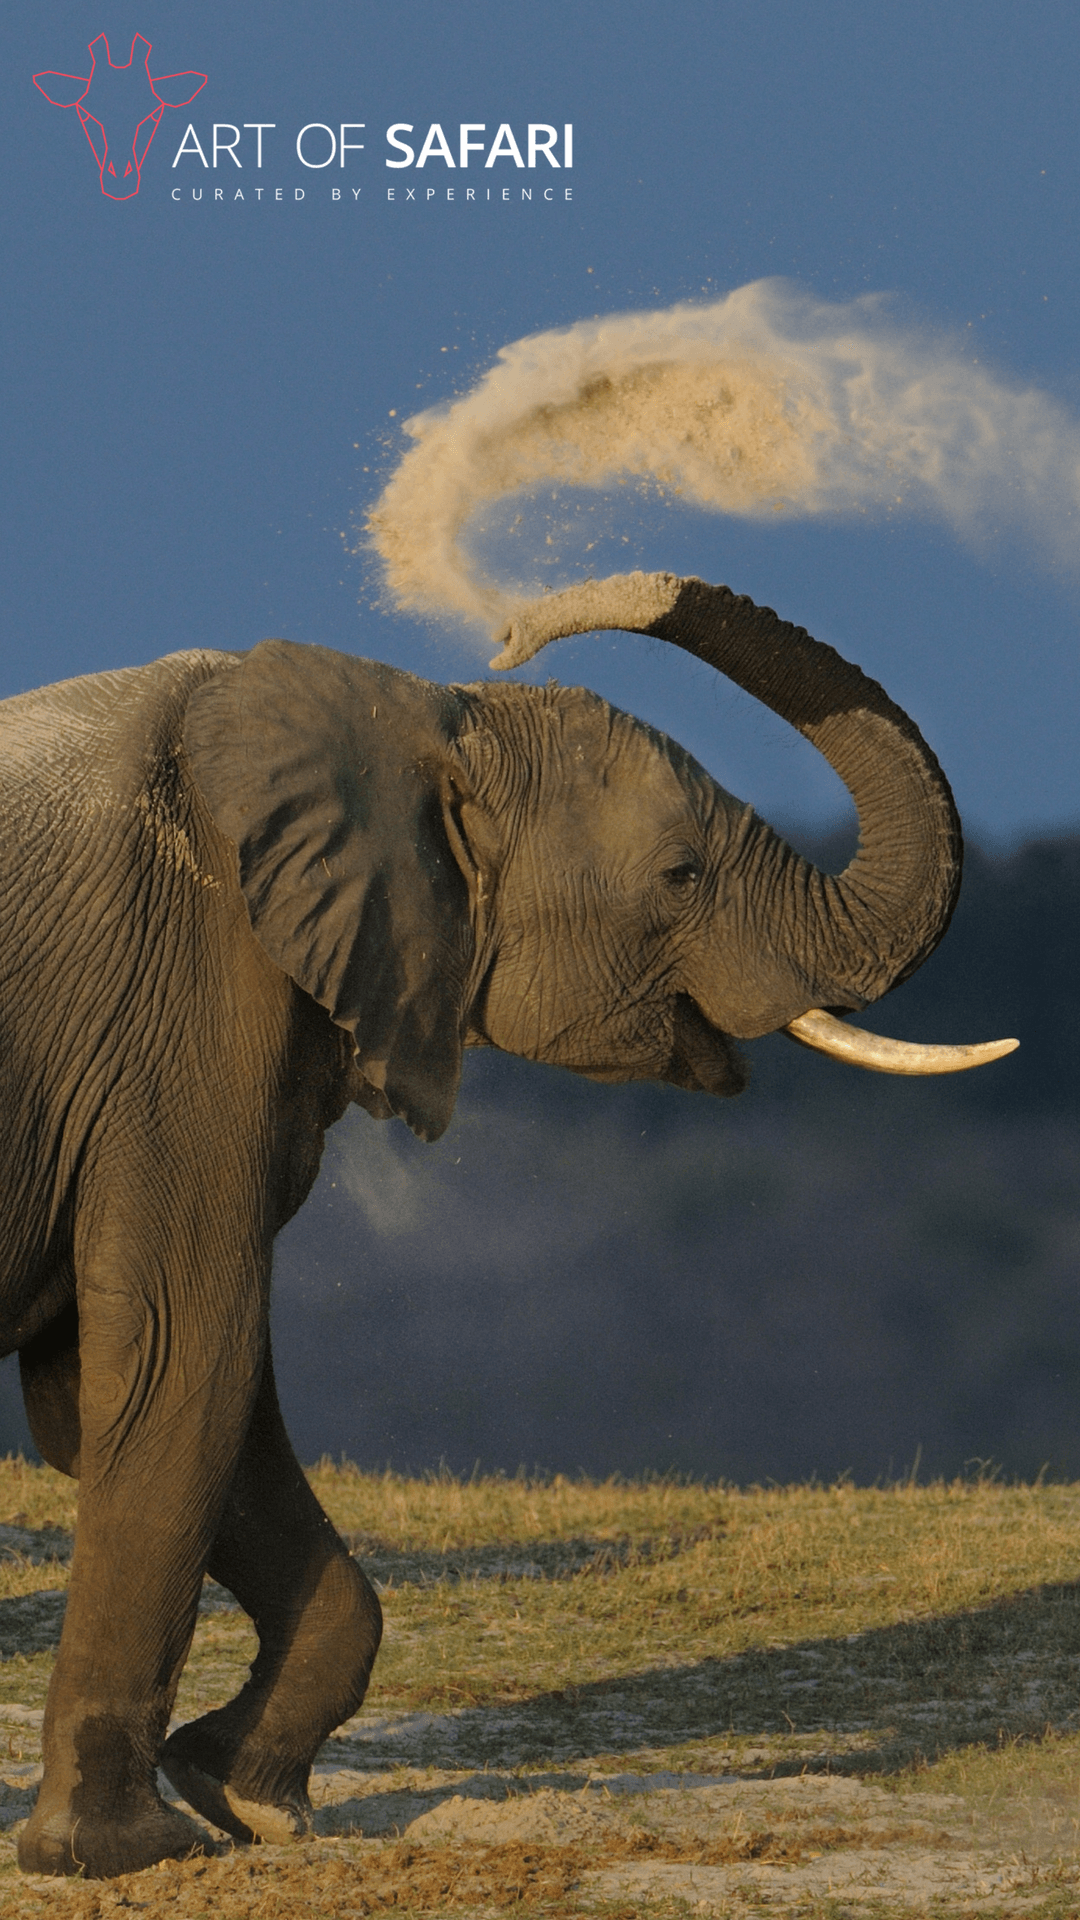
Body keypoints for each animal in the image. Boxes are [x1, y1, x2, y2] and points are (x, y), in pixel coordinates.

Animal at [0, 568, 1013, 1878]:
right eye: (682, 876)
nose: (511, 627)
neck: (420, 717)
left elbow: (115, 1393)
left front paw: (248, 1800)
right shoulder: (178, 1001)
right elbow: (184, 1360)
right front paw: (127, 1855)